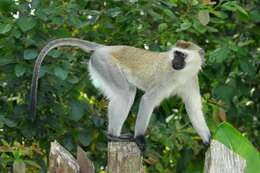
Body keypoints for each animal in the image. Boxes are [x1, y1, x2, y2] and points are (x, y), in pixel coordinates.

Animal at [29, 38, 210, 151]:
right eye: (175, 54)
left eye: (182, 55)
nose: (175, 62)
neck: (181, 73)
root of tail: (105, 47)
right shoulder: (165, 78)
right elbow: (147, 100)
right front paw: (140, 138)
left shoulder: (191, 81)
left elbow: (193, 110)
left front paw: (208, 141)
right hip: (104, 62)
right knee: (125, 93)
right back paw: (113, 136)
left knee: (127, 92)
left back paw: (115, 135)